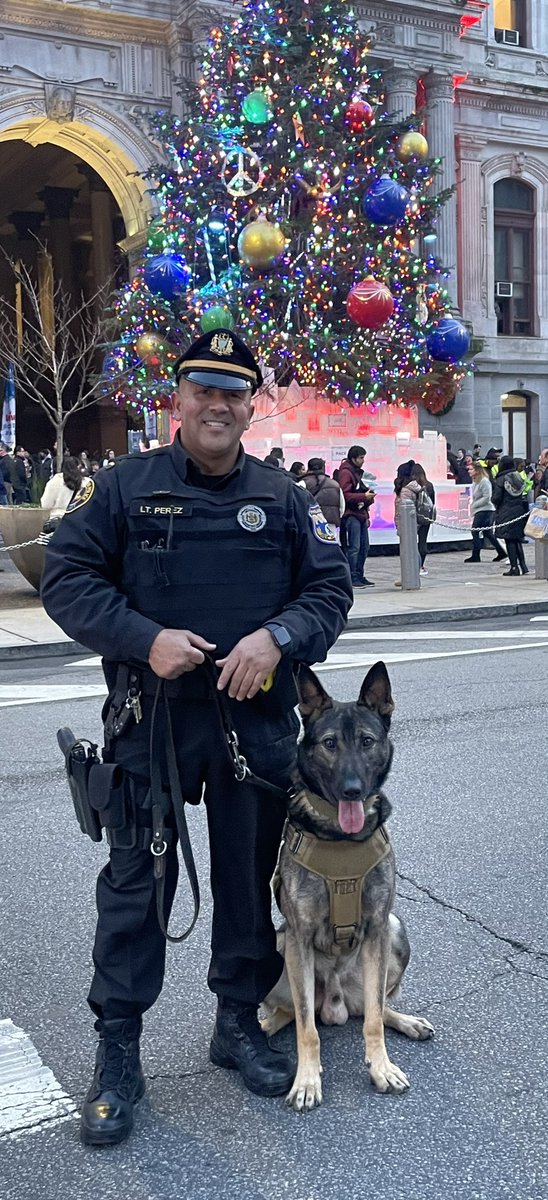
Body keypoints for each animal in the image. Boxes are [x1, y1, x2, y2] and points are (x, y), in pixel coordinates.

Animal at [262, 662, 434, 1108]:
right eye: (329, 744)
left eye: (367, 742)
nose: (352, 790)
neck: (340, 838)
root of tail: (336, 1003)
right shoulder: (300, 937)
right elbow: (307, 1029)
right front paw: (306, 1080)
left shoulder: (376, 929)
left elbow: (372, 1020)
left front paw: (381, 1067)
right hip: (279, 947)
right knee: (295, 1013)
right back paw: (265, 1025)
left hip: (394, 930)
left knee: (372, 1008)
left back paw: (405, 1021)